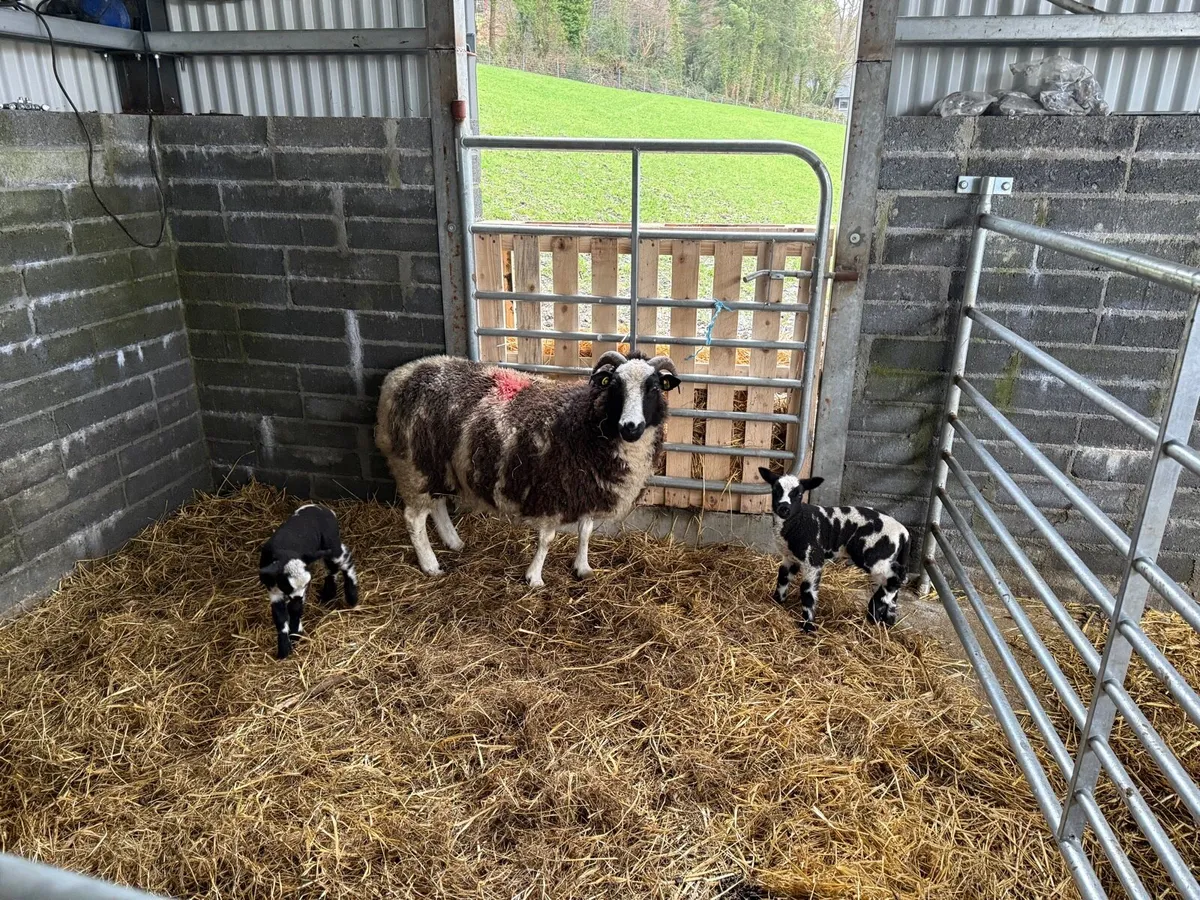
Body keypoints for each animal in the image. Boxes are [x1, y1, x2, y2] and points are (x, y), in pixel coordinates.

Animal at [258, 504, 359, 659]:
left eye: (306, 584)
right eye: (287, 585)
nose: (298, 598)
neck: (284, 552)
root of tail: (322, 508)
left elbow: (295, 610)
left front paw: (295, 635)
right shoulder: (274, 591)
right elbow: (280, 618)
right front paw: (284, 648)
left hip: (332, 543)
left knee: (345, 559)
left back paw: (352, 596)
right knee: (332, 567)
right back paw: (328, 593)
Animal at [375, 350, 680, 586]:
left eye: (654, 388)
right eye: (614, 386)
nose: (630, 427)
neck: (584, 421)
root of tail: (399, 376)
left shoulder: (584, 486)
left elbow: (585, 532)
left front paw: (583, 568)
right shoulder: (552, 489)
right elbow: (547, 539)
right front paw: (534, 577)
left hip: (434, 465)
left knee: (436, 504)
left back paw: (454, 542)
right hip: (412, 465)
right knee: (414, 518)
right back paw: (430, 565)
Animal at [758, 468, 909, 632]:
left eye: (799, 494)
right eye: (775, 490)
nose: (784, 509)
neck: (799, 521)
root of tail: (903, 532)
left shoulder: (813, 558)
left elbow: (807, 590)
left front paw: (808, 625)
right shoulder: (790, 557)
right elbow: (783, 577)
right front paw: (776, 601)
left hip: (874, 555)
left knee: (895, 577)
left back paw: (874, 611)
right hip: (887, 557)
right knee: (897, 578)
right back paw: (888, 619)